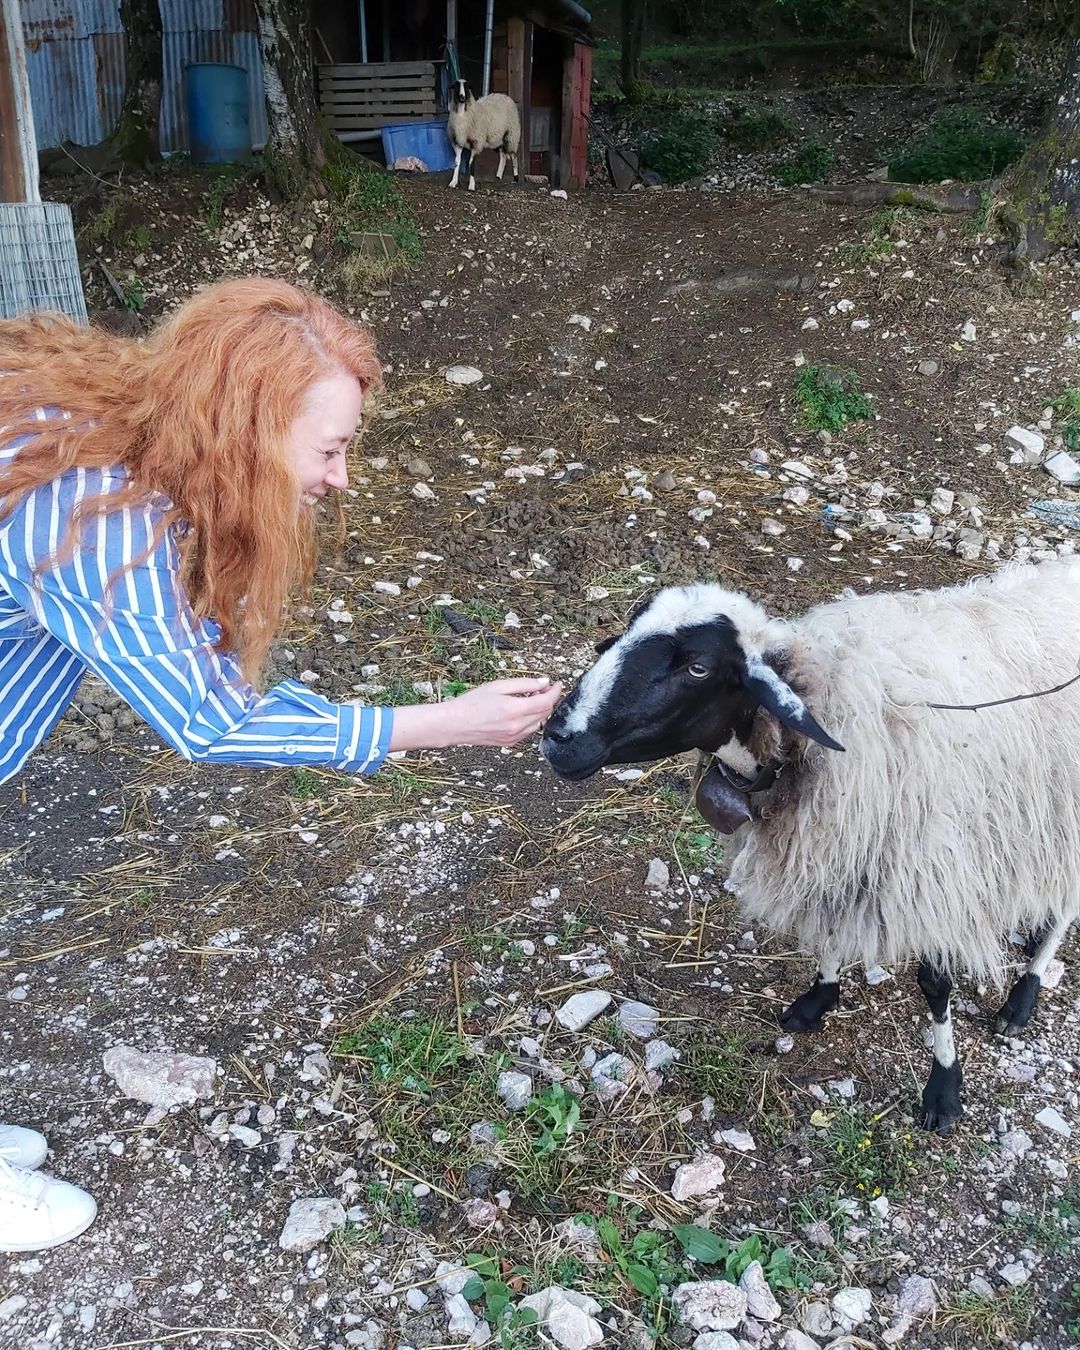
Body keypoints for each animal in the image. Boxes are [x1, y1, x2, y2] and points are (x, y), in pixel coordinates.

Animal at [545, 553, 1080, 1134]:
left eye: (698, 668)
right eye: (627, 629)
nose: (558, 738)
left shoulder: (936, 870)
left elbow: (935, 984)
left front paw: (944, 1087)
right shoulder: (836, 847)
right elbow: (829, 923)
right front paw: (819, 996)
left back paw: (1023, 995)